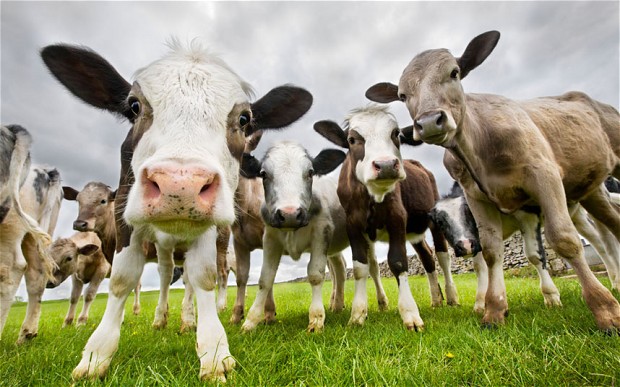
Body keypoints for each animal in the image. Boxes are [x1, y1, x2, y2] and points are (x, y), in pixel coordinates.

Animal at [42, 40, 314, 382]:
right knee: (163, 274)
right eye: (134, 106)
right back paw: (163, 318)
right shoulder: (124, 217)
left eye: (243, 119)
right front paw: (96, 355)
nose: (180, 184)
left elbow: (204, 277)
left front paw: (214, 351)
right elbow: (122, 279)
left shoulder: (212, 228)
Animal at [237, 140, 348, 334]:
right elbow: (265, 279)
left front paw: (316, 319)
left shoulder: (322, 232)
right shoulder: (270, 238)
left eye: (310, 172)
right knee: (340, 269)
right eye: (263, 174)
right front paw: (250, 321)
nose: (289, 213)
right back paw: (337, 305)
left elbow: (315, 275)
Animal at [312, 104, 458, 332]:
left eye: (396, 133)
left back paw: (451, 297)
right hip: (414, 230)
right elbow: (360, 267)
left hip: (434, 218)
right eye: (352, 139)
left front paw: (410, 314)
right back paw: (436, 299)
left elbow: (398, 262)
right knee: (427, 257)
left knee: (442, 255)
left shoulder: (397, 218)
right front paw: (357, 314)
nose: (387, 165)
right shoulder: (353, 225)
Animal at [364, 29, 620, 330]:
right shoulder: (476, 196)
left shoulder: (541, 182)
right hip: (589, 191)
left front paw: (603, 309)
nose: (428, 122)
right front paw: (493, 309)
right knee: (611, 225)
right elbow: (490, 252)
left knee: (599, 235)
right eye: (403, 95)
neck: (479, 147)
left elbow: (558, 242)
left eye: (454, 73)